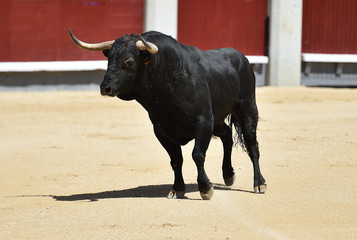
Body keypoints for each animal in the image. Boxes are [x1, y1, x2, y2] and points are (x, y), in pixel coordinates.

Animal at [69, 29, 264, 199]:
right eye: (109, 59)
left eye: (129, 61)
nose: (106, 88)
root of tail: (241, 58)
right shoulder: (161, 130)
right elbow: (176, 160)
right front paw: (177, 189)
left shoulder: (203, 121)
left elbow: (197, 155)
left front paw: (205, 188)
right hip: (217, 121)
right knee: (227, 135)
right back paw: (229, 175)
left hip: (247, 108)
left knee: (252, 144)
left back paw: (259, 184)